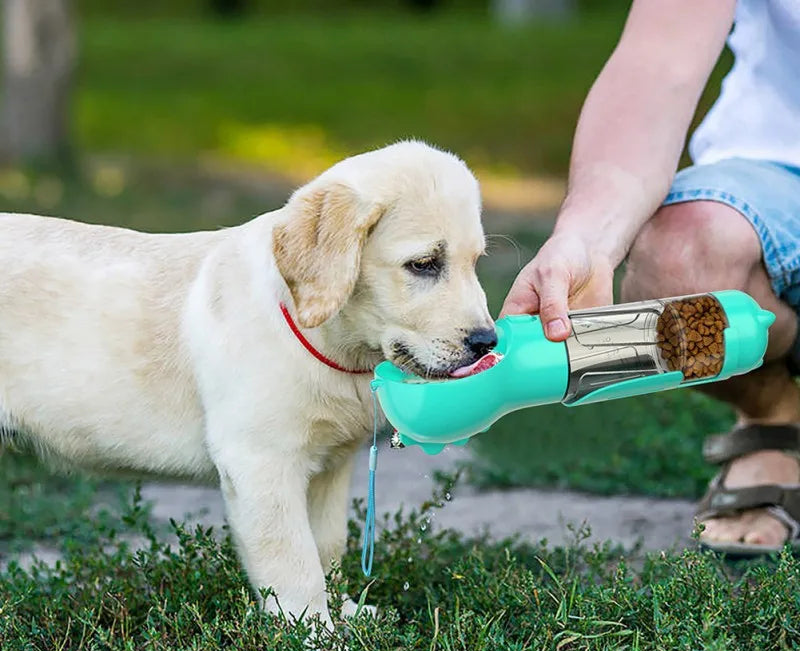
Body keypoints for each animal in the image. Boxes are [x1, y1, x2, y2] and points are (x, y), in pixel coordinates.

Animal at [0, 140, 494, 628]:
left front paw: (345, 614)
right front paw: (311, 630)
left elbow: (327, 546)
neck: (327, 341)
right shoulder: (261, 462)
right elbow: (294, 561)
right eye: (424, 264)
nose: (487, 342)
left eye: (475, 263)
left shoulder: (330, 467)